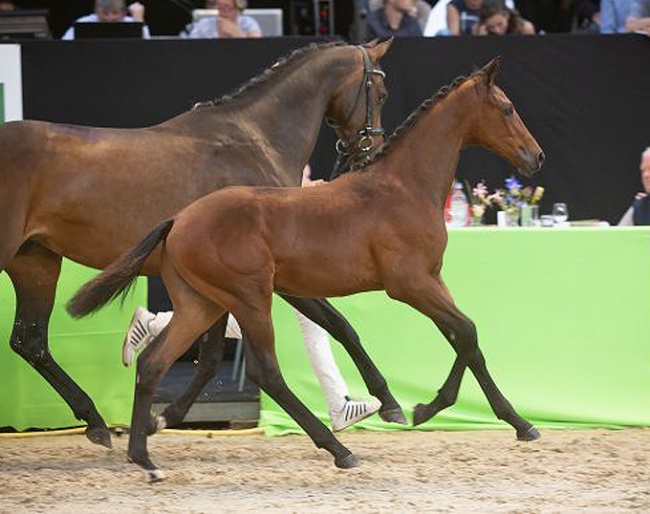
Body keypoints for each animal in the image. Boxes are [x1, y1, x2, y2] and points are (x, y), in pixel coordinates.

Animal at [1, 40, 404, 446]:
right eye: (382, 93)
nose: (372, 154)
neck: (253, 143)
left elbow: (210, 359)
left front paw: (163, 418)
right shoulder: (272, 274)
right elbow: (340, 324)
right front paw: (388, 402)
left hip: (36, 262)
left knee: (29, 341)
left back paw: (96, 421)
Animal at [68, 57, 540, 480]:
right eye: (506, 108)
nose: (535, 156)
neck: (401, 188)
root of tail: (179, 219)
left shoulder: (433, 280)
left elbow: (464, 337)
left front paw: (439, 409)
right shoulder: (409, 284)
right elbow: (466, 332)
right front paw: (463, 413)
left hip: (201, 303)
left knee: (154, 363)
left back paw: (144, 458)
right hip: (250, 298)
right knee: (265, 371)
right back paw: (338, 449)